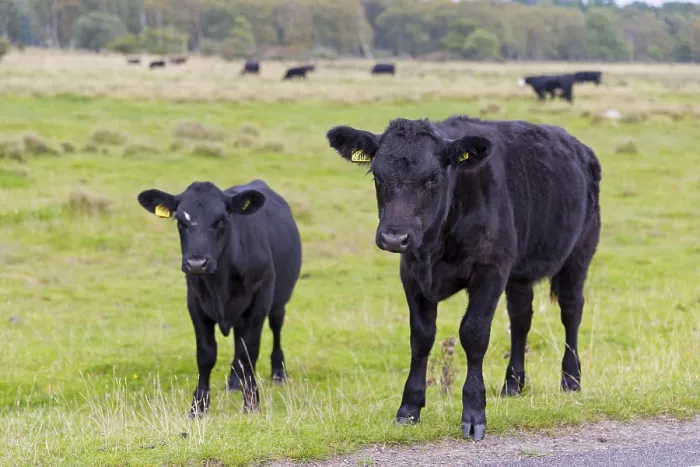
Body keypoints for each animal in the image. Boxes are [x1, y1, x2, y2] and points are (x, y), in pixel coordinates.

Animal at [137, 179, 303, 417]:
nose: (196, 263)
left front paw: (251, 404)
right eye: (180, 221)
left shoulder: (259, 302)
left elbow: (248, 350)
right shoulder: (195, 303)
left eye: (222, 220)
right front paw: (198, 407)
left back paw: (278, 372)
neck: (220, 283)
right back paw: (234, 382)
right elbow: (207, 354)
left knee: (275, 327)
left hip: (279, 299)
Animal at [325, 115, 601, 441]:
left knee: (571, 311)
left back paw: (571, 379)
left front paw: (473, 413)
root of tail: (579, 147)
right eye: (377, 176)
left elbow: (474, 334)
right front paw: (409, 408)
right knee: (521, 318)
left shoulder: (490, 271)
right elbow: (421, 337)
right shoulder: (412, 274)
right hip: (520, 274)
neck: (435, 247)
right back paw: (513, 384)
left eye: (433, 177)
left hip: (579, 255)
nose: (394, 238)